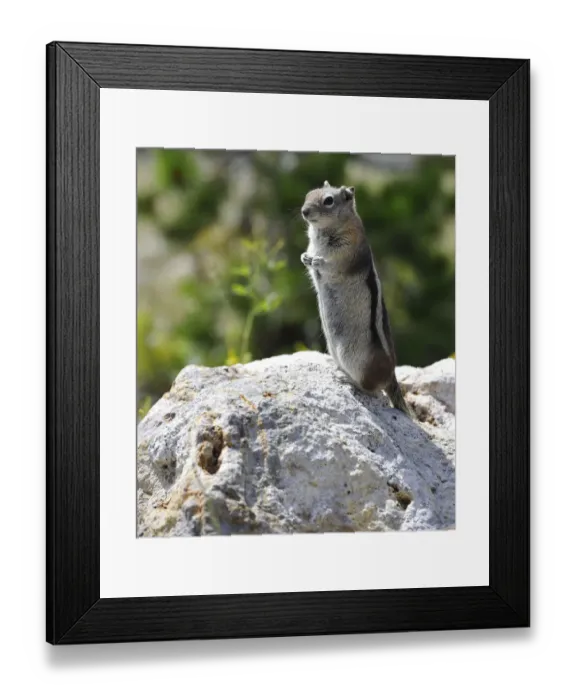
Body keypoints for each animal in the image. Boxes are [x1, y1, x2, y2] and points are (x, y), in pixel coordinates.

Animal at [300, 180, 412, 417]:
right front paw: (305, 257)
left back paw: (349, 381)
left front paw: (318, 260)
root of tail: (391, 376)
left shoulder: (347, 253)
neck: (322, 232)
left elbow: (331, 265)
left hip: (356, 360)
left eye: (329, 201)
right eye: (308, 194)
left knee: (372, 389)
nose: (304, 211)